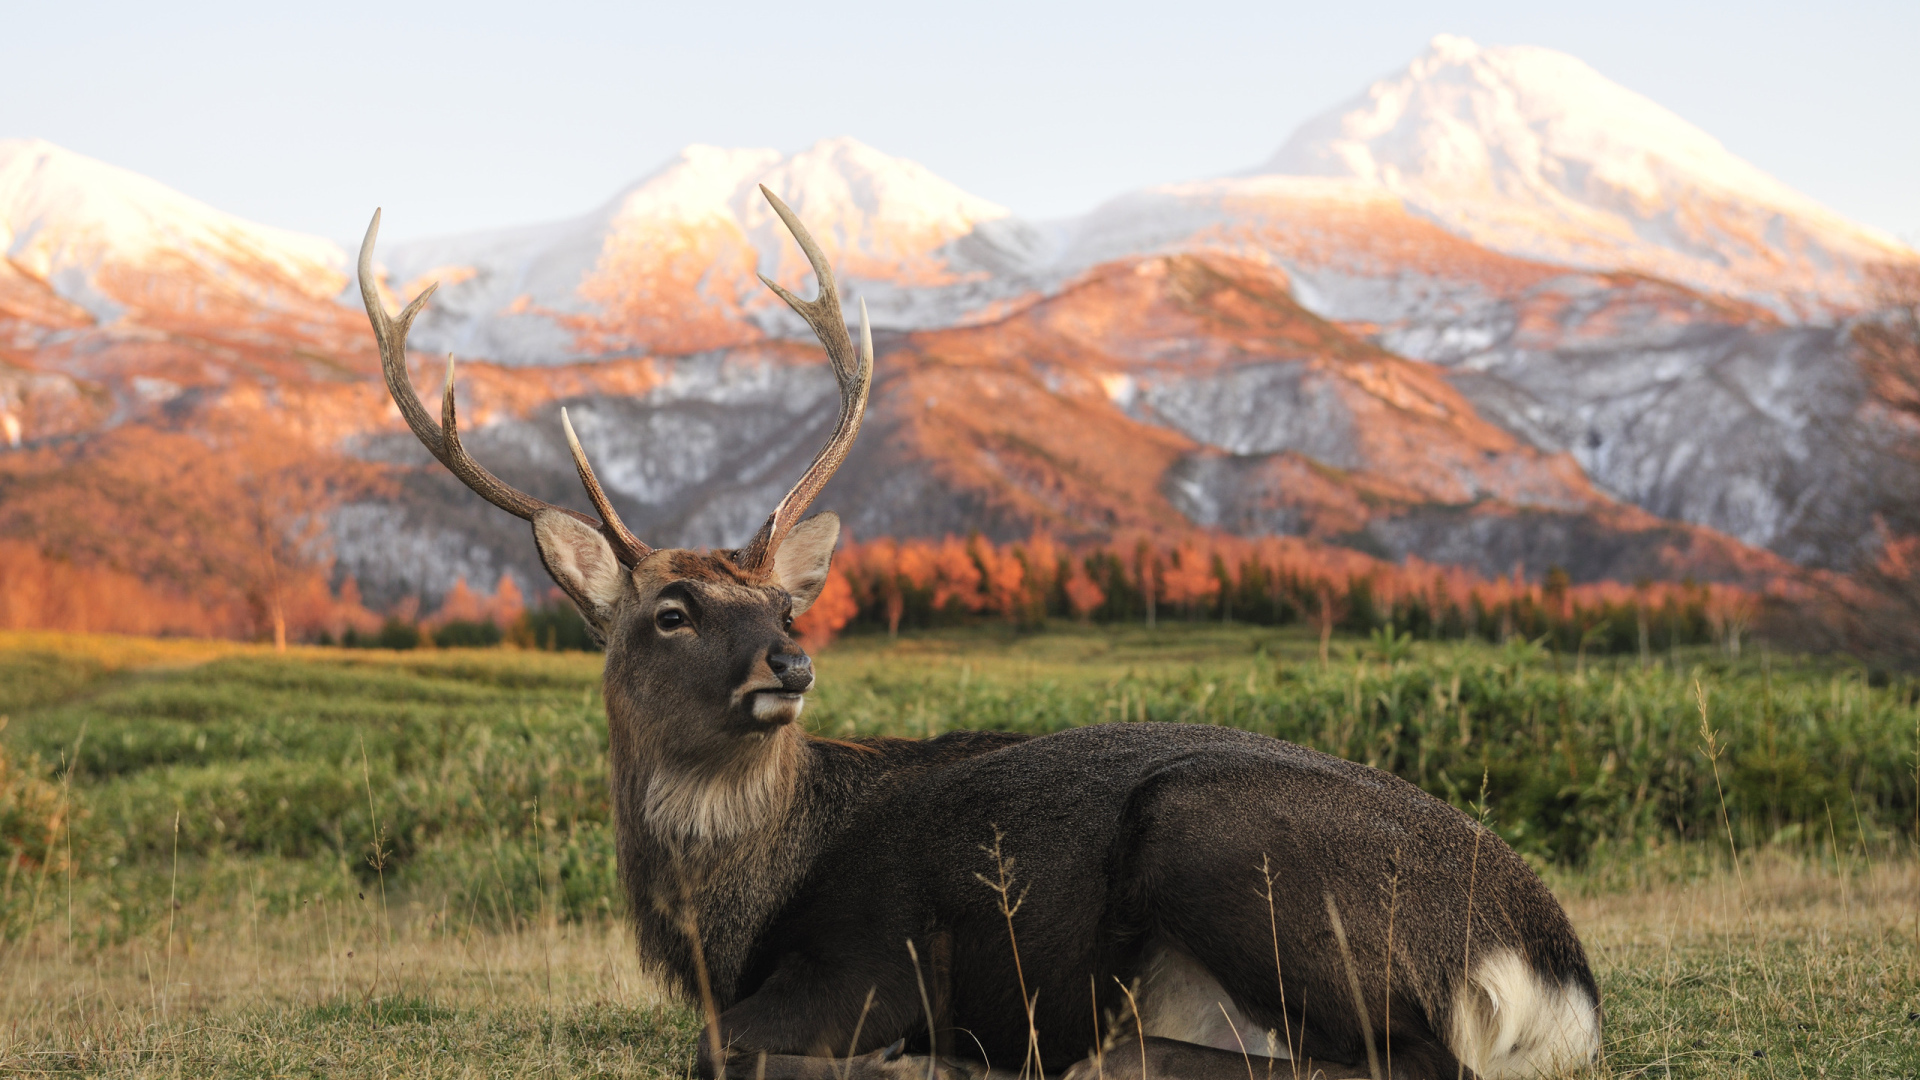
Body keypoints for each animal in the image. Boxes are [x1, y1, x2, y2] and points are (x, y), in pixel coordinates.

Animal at [357, 188, 1601, 1080]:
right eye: (673, 612)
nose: (791, 663)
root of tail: (1555, 972)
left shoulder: (878, 959)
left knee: (1409, 1061)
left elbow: (716, 1051)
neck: (729, 924)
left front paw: (905, 1059)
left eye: (785, 605)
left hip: (1222, 841)